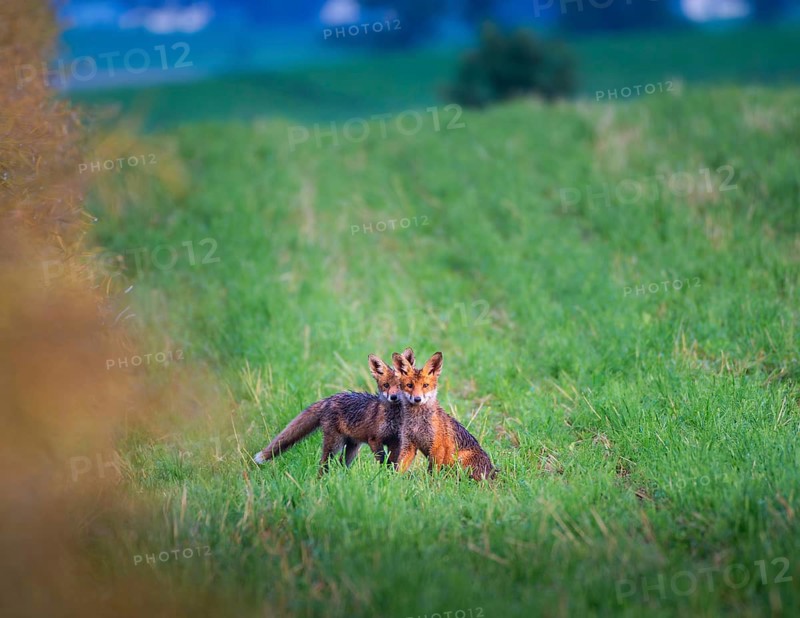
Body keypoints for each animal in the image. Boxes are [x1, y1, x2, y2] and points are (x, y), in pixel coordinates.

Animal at [252, 348, 414, 475]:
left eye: (401, 385)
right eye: (386, 385)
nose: (393, 397)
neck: (393, 418)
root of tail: (328, 399)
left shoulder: (396, 441)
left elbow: (394, 464)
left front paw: (391, 479)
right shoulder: (374, 440)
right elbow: (383, 462)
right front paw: (385, 477)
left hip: (352, 447)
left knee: (341, 464)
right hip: (334, 445)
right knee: (323, 465)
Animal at [392, 350, 496, 481]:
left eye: (425, 385)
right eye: (409, 385)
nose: (417, 399)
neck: (418, 423)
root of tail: (494, 473)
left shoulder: (437, 448)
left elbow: (432, 473)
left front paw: (431, 484)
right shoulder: (409, 445)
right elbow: (399, 468)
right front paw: (393, 481)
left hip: (460, 460)